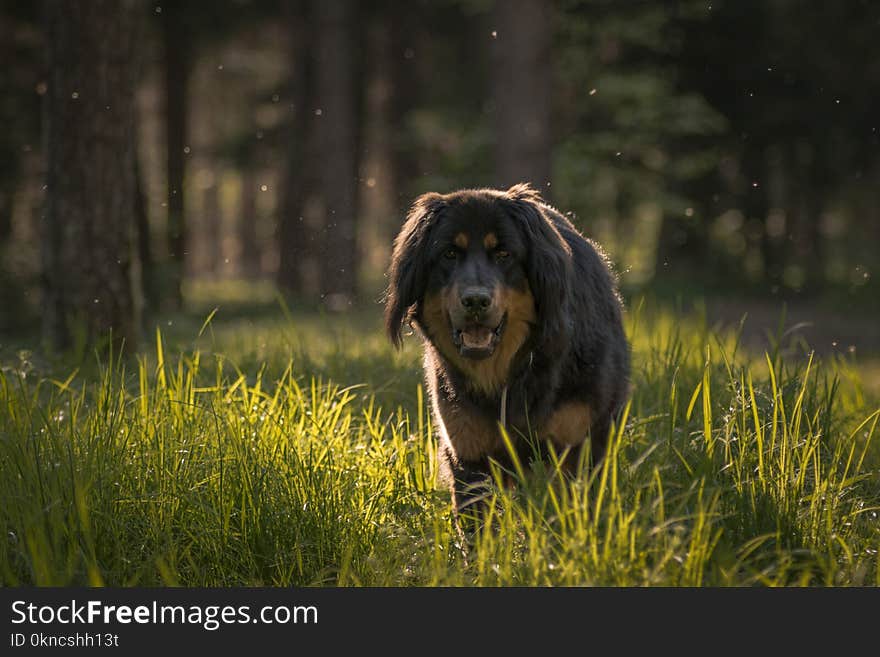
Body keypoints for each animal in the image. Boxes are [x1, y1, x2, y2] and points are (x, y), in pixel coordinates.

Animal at [386, 182, 632, 516]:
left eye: (503, 254)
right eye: (449, 253)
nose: (476, 300)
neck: (510, 374)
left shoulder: (577, 446)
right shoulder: (469, 453)